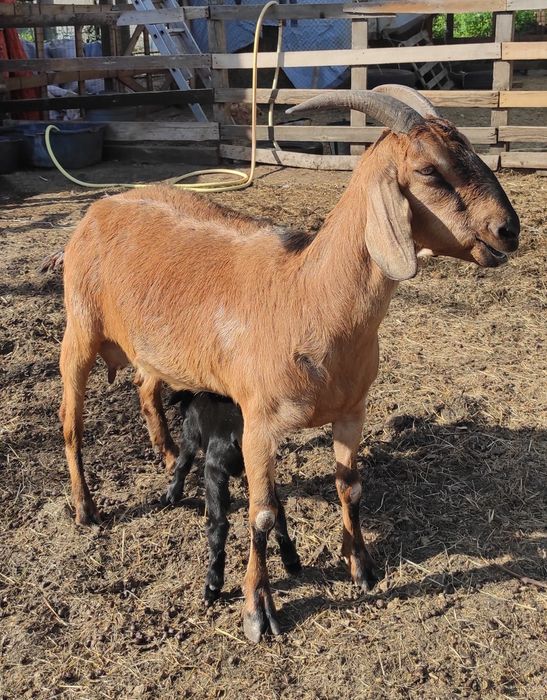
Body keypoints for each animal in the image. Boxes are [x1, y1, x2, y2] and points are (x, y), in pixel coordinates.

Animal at [166, 390, 301, 606]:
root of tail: (239, 434)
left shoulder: (190, 435)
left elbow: (182, 464)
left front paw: (172, 495)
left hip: (214, 471)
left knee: (219, 525)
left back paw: (212, 586)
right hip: (262, 473)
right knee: (277, 512)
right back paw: (291, 560)